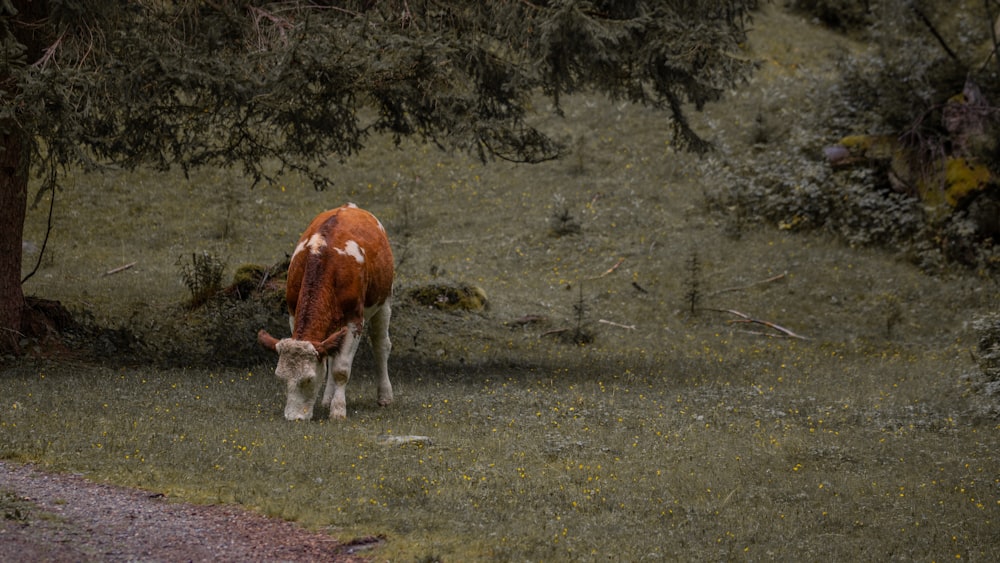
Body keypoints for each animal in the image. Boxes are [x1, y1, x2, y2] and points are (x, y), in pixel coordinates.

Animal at [258, 205, 394, 420]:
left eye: (308, 379)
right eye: (281, 378)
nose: (293, 418)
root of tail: (350, 207)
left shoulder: (354, 320)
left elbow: (341, 368)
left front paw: (338, 410)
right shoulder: (293, 313)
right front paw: (331, 402)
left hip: (384, 300)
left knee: (381, 346)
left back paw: (385, 397)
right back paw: (327, 398)